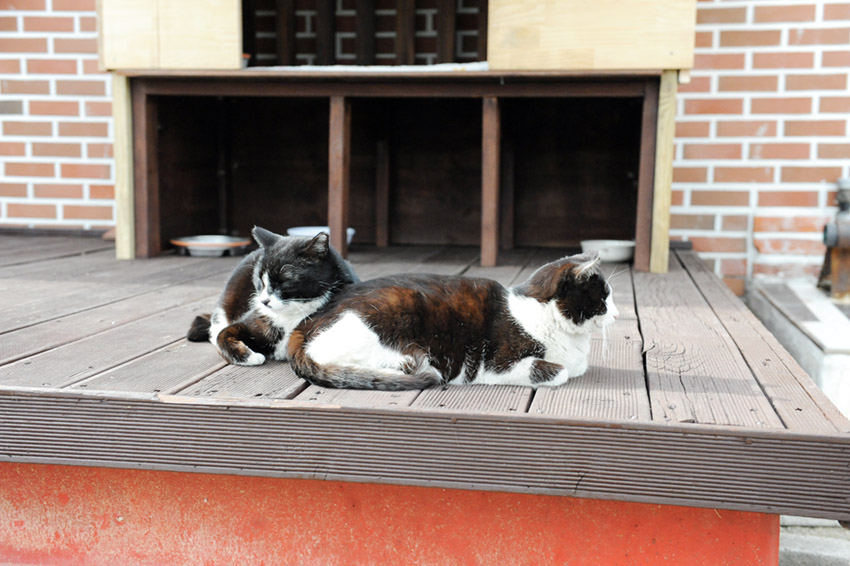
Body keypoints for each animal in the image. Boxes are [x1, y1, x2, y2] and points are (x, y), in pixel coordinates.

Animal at [187, 226, 359, 365]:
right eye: (260, 280)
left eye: (285, 281)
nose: (264, 301)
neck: (291, 314)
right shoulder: (250, 320)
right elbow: (223, 336)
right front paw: (250, 356)